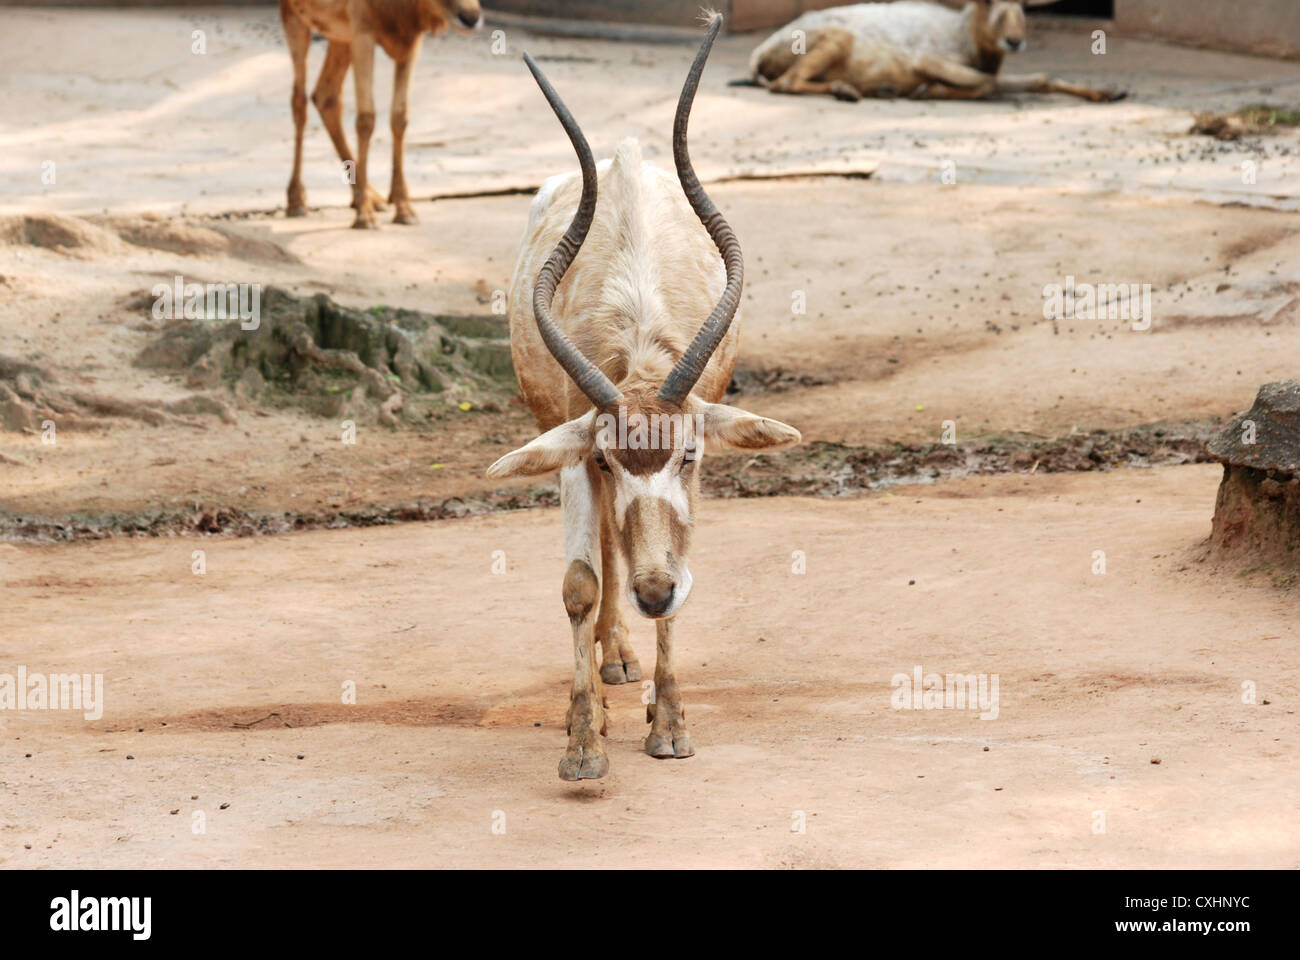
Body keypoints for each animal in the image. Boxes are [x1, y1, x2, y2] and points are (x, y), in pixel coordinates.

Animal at [282, 0, 486, 227]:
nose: (471, 17)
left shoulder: (411, 41)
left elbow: (400, 118)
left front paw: (404, 209)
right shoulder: (362, 31)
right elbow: (366, 119)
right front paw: (365, 216)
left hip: (340, 36)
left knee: (326, 95)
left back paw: (373, 197)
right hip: (295, 18)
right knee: (300, 100)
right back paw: (297, 201)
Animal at [483, 14, 795, 780]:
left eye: (687, 457)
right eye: (608, 459)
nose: (652, 595)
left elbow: (681, 571)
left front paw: (671, 724)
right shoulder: (574, 451)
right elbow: (579, 582)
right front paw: (583, 745)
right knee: (602, 546)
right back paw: (615, 660)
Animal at [748, 1, 1123, 104]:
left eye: (1024, 7)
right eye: (990, 3)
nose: (1014, 41)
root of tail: (756, 57)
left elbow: (1040, 78)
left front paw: (1110, 92)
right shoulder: (925, 59)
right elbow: (986, 84)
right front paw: (927, 90)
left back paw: (854, 89)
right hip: (835, 39)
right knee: (786, 82)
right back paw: (852, 90)